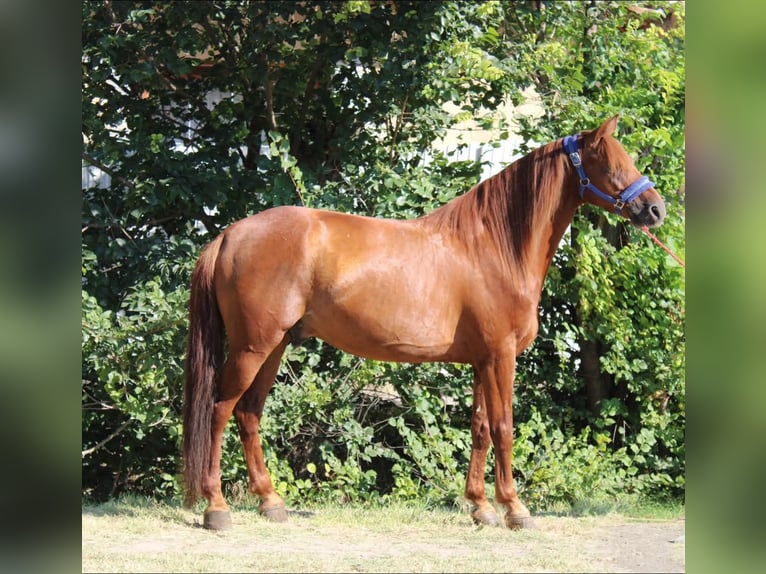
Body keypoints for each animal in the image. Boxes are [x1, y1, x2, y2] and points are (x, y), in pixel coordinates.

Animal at [182, 115, 666, 531]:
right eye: (611, 163)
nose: (656, 209)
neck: (494, 246)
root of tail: (230, 234)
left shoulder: (481, 361)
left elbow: (480, 429)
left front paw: (481, 508)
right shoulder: (501, 356)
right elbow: (505, 428)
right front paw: (515, 509)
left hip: (275, 345)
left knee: (248, 413)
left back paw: (270, 502)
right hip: (252, 347)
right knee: (219, 409)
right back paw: (216, 507)